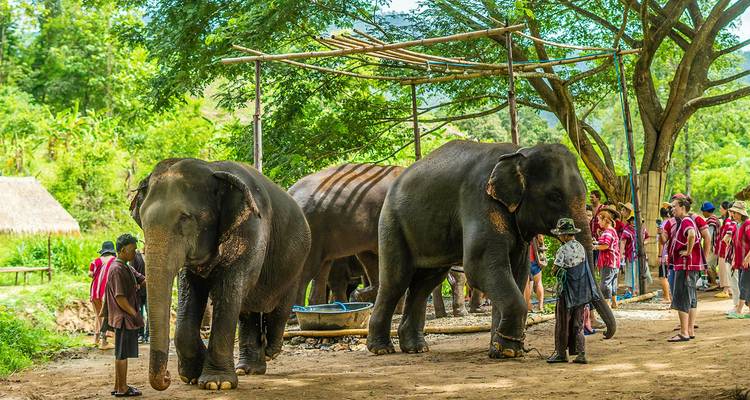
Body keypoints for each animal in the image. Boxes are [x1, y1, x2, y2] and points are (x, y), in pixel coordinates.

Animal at [131, 159, 311, 391]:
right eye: (142, 221)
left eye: (185, 218)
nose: (168, 377)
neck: (212, 169)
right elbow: (190, 289)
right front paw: (191, 376)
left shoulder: (251, 228)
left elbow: (228, 289)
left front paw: (217, 383)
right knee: (248, 311)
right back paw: (249, 369)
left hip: (297, 261)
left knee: (279, 306)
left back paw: (271, 350)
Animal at [367, 140, 616, 358]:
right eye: (554, 196)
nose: (604, 334)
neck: (520, 153)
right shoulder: (480, 200)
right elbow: (480, 265)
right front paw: (508, 351)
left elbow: (517, 271)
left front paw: (502, 350)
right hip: (391, 222)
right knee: (396, 280)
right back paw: (382, 349)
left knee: (425, 283)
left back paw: (416, 348)